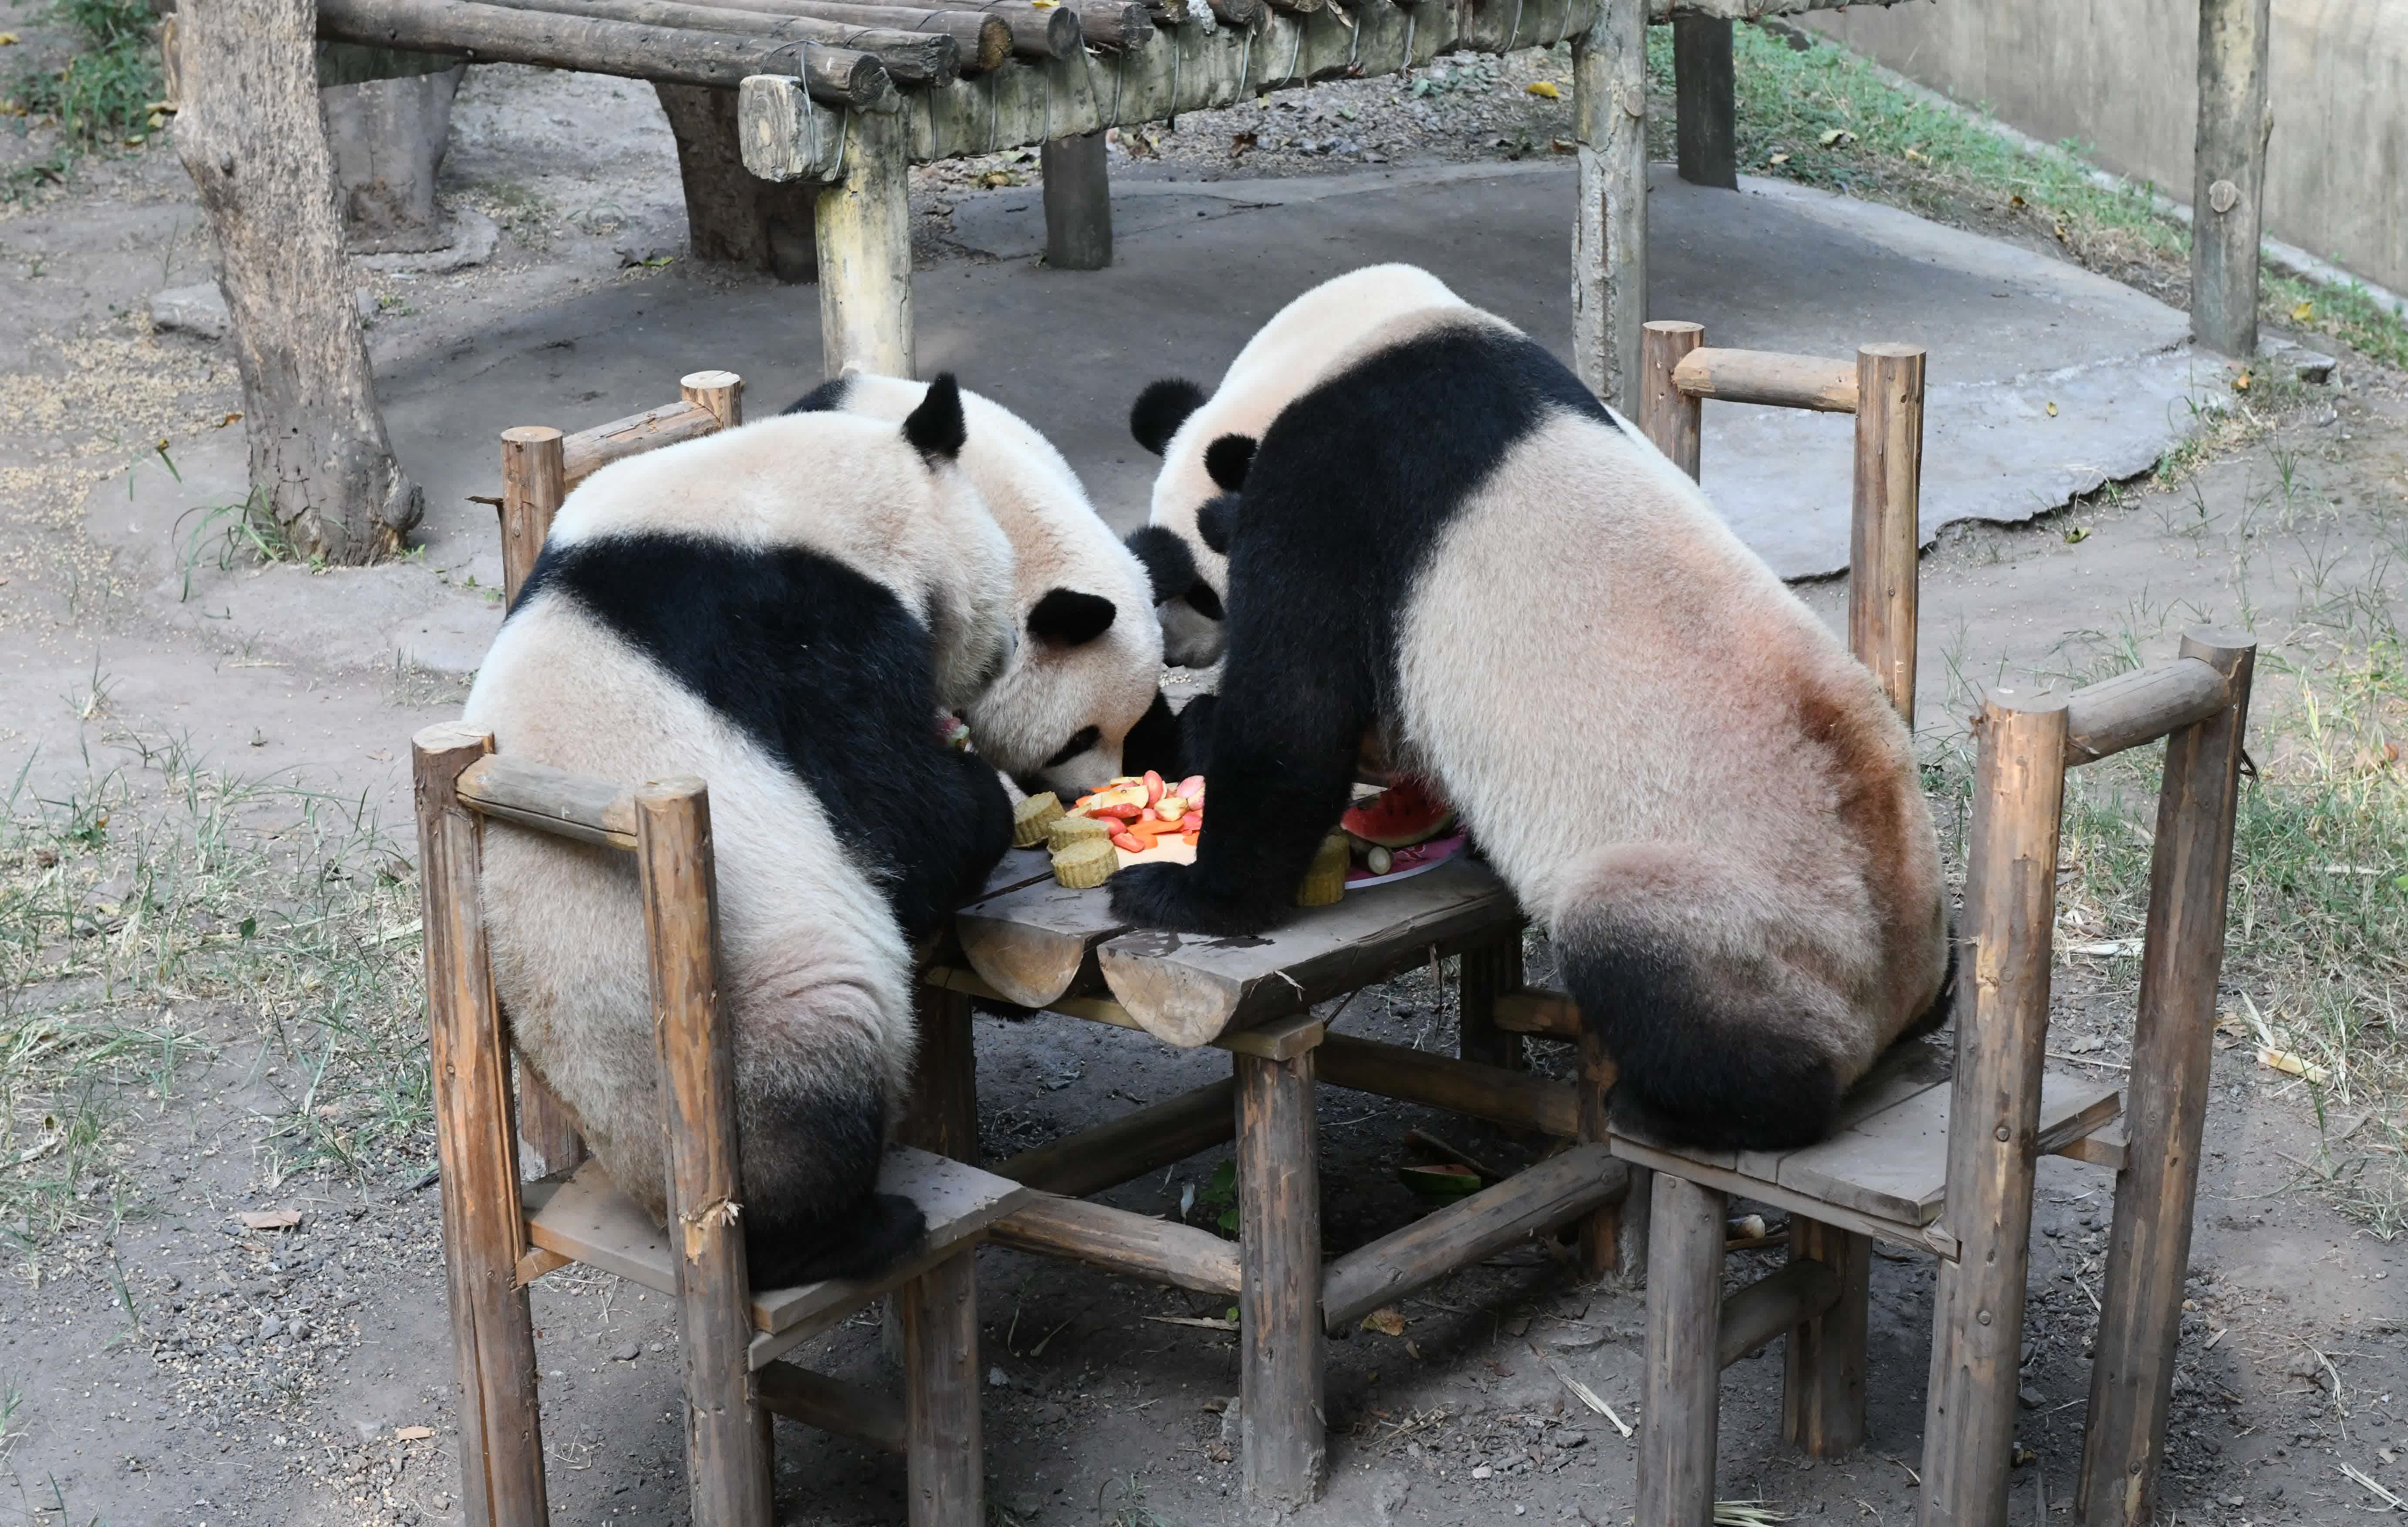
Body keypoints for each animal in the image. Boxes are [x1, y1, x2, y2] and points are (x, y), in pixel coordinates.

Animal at [462, 375, 1016, 1281]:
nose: (1004, 652)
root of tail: (658, 1201)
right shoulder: (801, 633)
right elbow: (897, 820)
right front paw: (986, 794)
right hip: (762, 1038)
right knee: (826, 1074)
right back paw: (846, 1232)